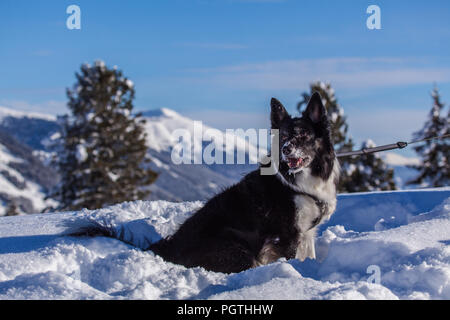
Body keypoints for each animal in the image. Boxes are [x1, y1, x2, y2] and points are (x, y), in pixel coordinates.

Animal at [75, 92, 340, 272]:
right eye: (283, 136)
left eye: (303, 134)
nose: (285, 149)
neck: (298, 182)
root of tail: (169, 247)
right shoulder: (287, 234)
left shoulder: (306, 232)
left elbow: (309, 255)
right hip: (236, 246)